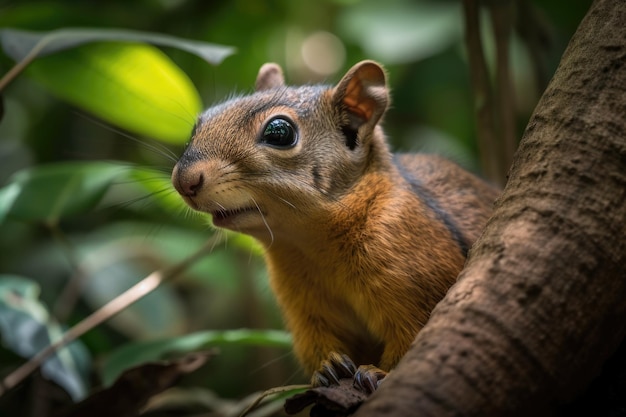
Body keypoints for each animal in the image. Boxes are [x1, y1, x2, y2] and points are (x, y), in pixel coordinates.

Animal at [169, 60, 498, 392]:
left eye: (279, 132)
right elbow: (317, 343)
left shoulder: (421, 275)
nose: (184, 181)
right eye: (200, 122)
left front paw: (380, 373)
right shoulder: (305, 308)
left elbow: (413, 337)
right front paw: (327, 365)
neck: (311, 244)